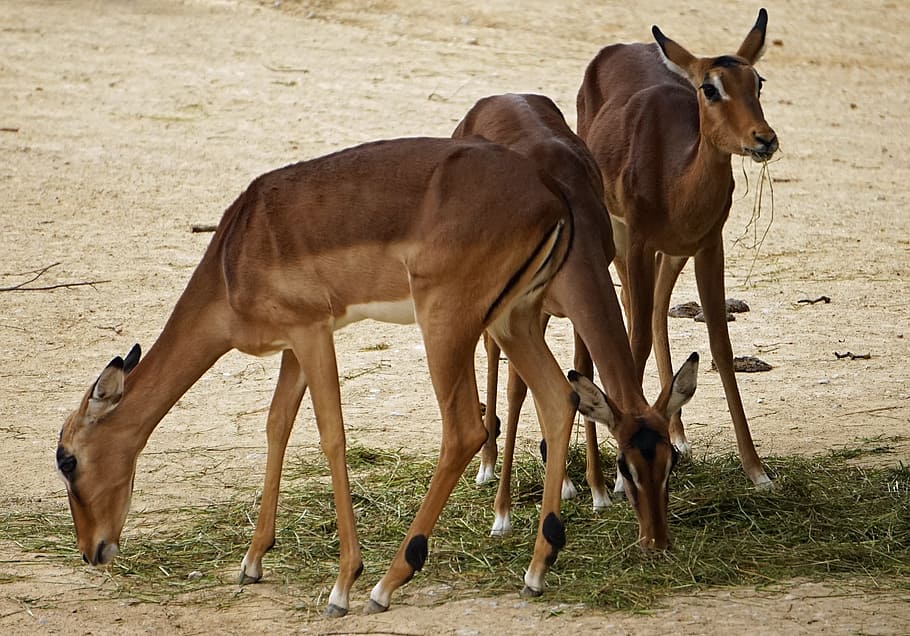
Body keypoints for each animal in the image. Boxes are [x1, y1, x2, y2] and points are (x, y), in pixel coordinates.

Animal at [55, 137, 581, 616]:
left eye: (68, 460)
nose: (90, 551)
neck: (233, 259)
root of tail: (550, 194)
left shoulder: (312, 331)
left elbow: (331, 434)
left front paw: (343, 585)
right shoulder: (293, 344)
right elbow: (277, 425)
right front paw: (252, 561)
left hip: (446, 326)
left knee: (465, 429)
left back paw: (387, 583)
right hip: (514, 320)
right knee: (559, 400)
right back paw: (535, 571)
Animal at [453, 93, 698, 549]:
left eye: (669, 462)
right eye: (626, 467)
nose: (656, 540)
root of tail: (492, 100)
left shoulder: (574, 305)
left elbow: (581, 376)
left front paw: (597, 491)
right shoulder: (524, 310)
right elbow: (517, 391)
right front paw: (502, 515)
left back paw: (562, 481)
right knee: (491, 355)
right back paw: (487, 466)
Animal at [576, 9, 777, 488]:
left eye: (757, 81)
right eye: (710, 87)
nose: (764, 139)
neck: (674, 179)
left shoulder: (709, 245)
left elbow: (721, 346)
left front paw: (757, 470)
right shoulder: (637, 242)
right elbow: (634, 342)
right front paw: (619, 474)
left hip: (671, 253)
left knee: (654, 311)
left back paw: (676, 432)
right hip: (620, 241)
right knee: (635, 316)